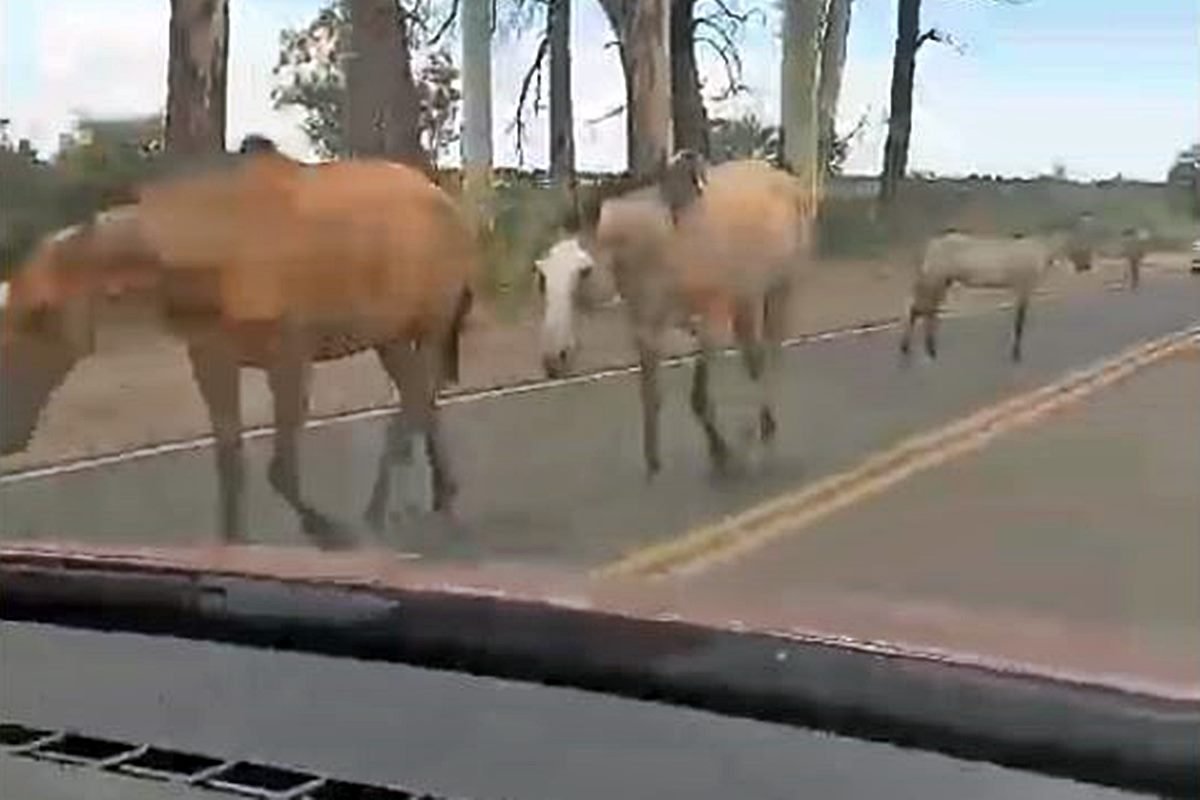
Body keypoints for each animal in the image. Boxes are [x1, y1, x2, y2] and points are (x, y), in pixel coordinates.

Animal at [1, 145, 476, 548]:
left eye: (37, 314)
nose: (7, 436)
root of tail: (451, 205)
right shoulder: (212, 357)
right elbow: (230, 459)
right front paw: (232, 542)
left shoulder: (289, 357)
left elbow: (280, 469)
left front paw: (329, 531)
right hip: (391, 336)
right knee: (423, 402)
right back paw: (443, 495)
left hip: (430, 325)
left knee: (414, 405)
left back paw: (379, 513)